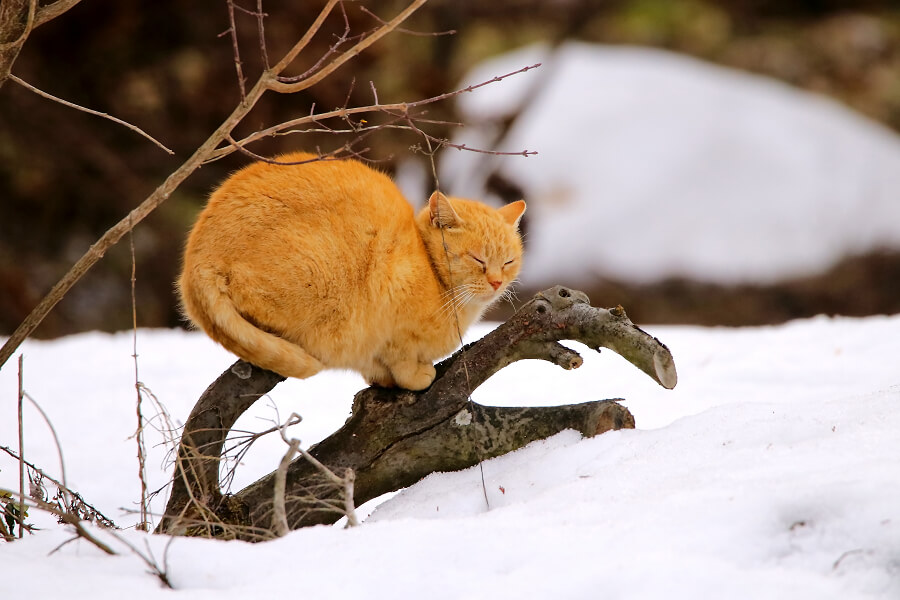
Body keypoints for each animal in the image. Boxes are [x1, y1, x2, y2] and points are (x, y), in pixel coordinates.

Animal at [178, 152, 524, 392]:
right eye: (478, 259)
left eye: (508, 262)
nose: (496, 281)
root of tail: (197, 259)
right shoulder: (391, 297)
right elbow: (402, 359)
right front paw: (416, 375)